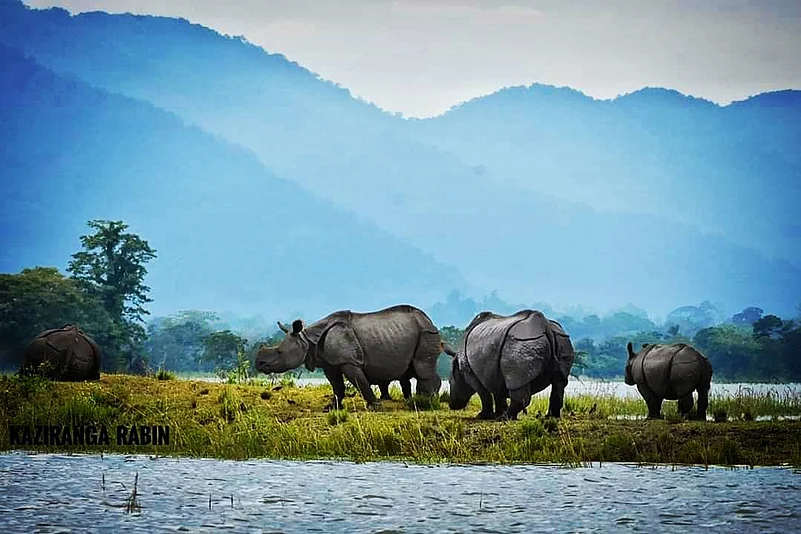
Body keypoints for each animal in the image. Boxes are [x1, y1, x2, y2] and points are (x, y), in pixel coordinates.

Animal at [255, 305, 443, 409]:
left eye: (279, 353)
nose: (259, 363)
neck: (308, 339)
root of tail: (429, 320)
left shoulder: (349, 361)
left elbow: (359, 382)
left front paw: (375, 407)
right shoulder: (329, 363)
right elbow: (337, 385)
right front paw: (332, 407)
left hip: (427, 332)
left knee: (422, 367)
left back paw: (424, 402)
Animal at [445, 310, 575, 420]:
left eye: (451, 382)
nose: (452, 405)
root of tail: (545, 326)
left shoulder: (470, 372)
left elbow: (484, 393)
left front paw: (483, 416)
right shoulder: (494, 370)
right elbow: (498, 393)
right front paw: (498, 413)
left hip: (521, 343)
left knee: (516, 382)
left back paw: (505, 418)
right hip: (562, 340)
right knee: (559, 381)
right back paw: (551, 417)